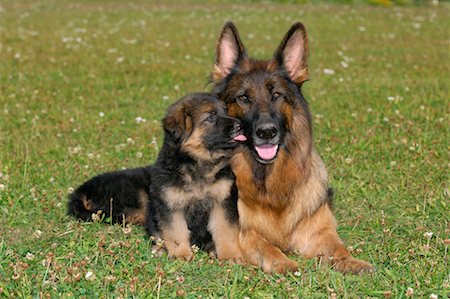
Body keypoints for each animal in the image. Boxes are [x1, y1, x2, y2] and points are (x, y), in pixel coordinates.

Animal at [67, 94, 246, 262]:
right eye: (210, 117)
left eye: (226, 111)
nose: (240, 125)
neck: (197, 164)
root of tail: (79, 191)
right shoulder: (171, 205)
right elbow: (176, 233)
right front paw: (181, 255)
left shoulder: (222, 202)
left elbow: (224, 231)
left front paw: (229, 255)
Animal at [213, 22, 374, 276]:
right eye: (243, 98)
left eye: (276, 94)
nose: (266, 132)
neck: (271, 182)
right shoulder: (244, 233)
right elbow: (265, 246)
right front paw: (285, 264)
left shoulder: (318, 230)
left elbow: (337, 247)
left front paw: (352, 261)